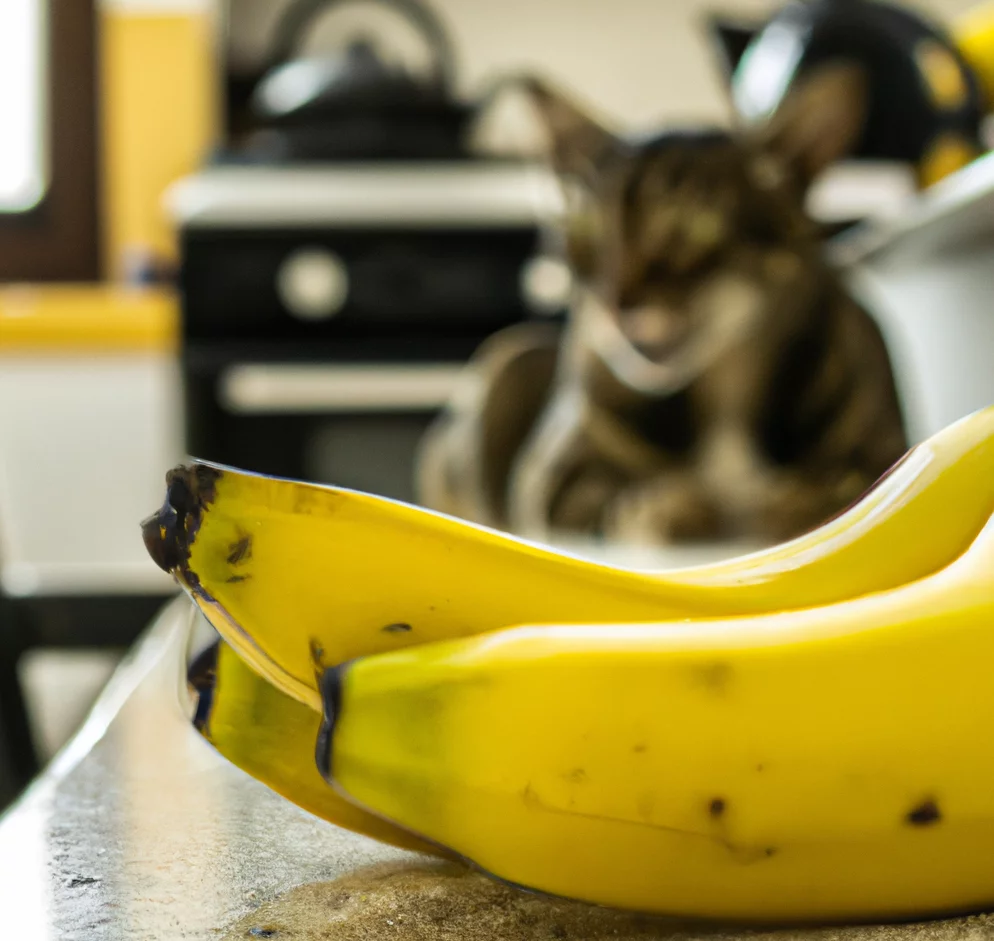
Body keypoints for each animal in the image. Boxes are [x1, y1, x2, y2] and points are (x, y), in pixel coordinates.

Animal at [414, 66, 912, 548]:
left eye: (694, 224)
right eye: (588, 225)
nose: (614, 302)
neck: (726, 393)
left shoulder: (884, 447)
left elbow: (849, 482)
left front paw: (799, 501)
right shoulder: (556, 481)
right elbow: (622, 493)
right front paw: (675, 506)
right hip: (512, 357)